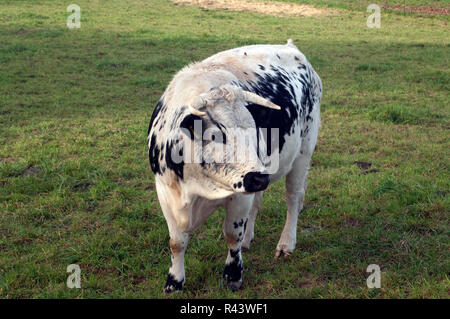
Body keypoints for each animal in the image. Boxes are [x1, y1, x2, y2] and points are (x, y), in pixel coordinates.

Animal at [147, 40, 320, 296]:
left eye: (253, 130)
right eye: (216, 135)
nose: (258, 178)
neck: (195, 188)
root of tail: (292, 48)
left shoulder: (239, 195)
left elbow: (231, 234)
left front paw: (233, 275)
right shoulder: (165, 191)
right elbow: (176, 242)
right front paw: (174, 282)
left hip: (302, 153)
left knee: (293, 199)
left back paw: (285, 244)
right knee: (258, 201)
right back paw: (249, 239)